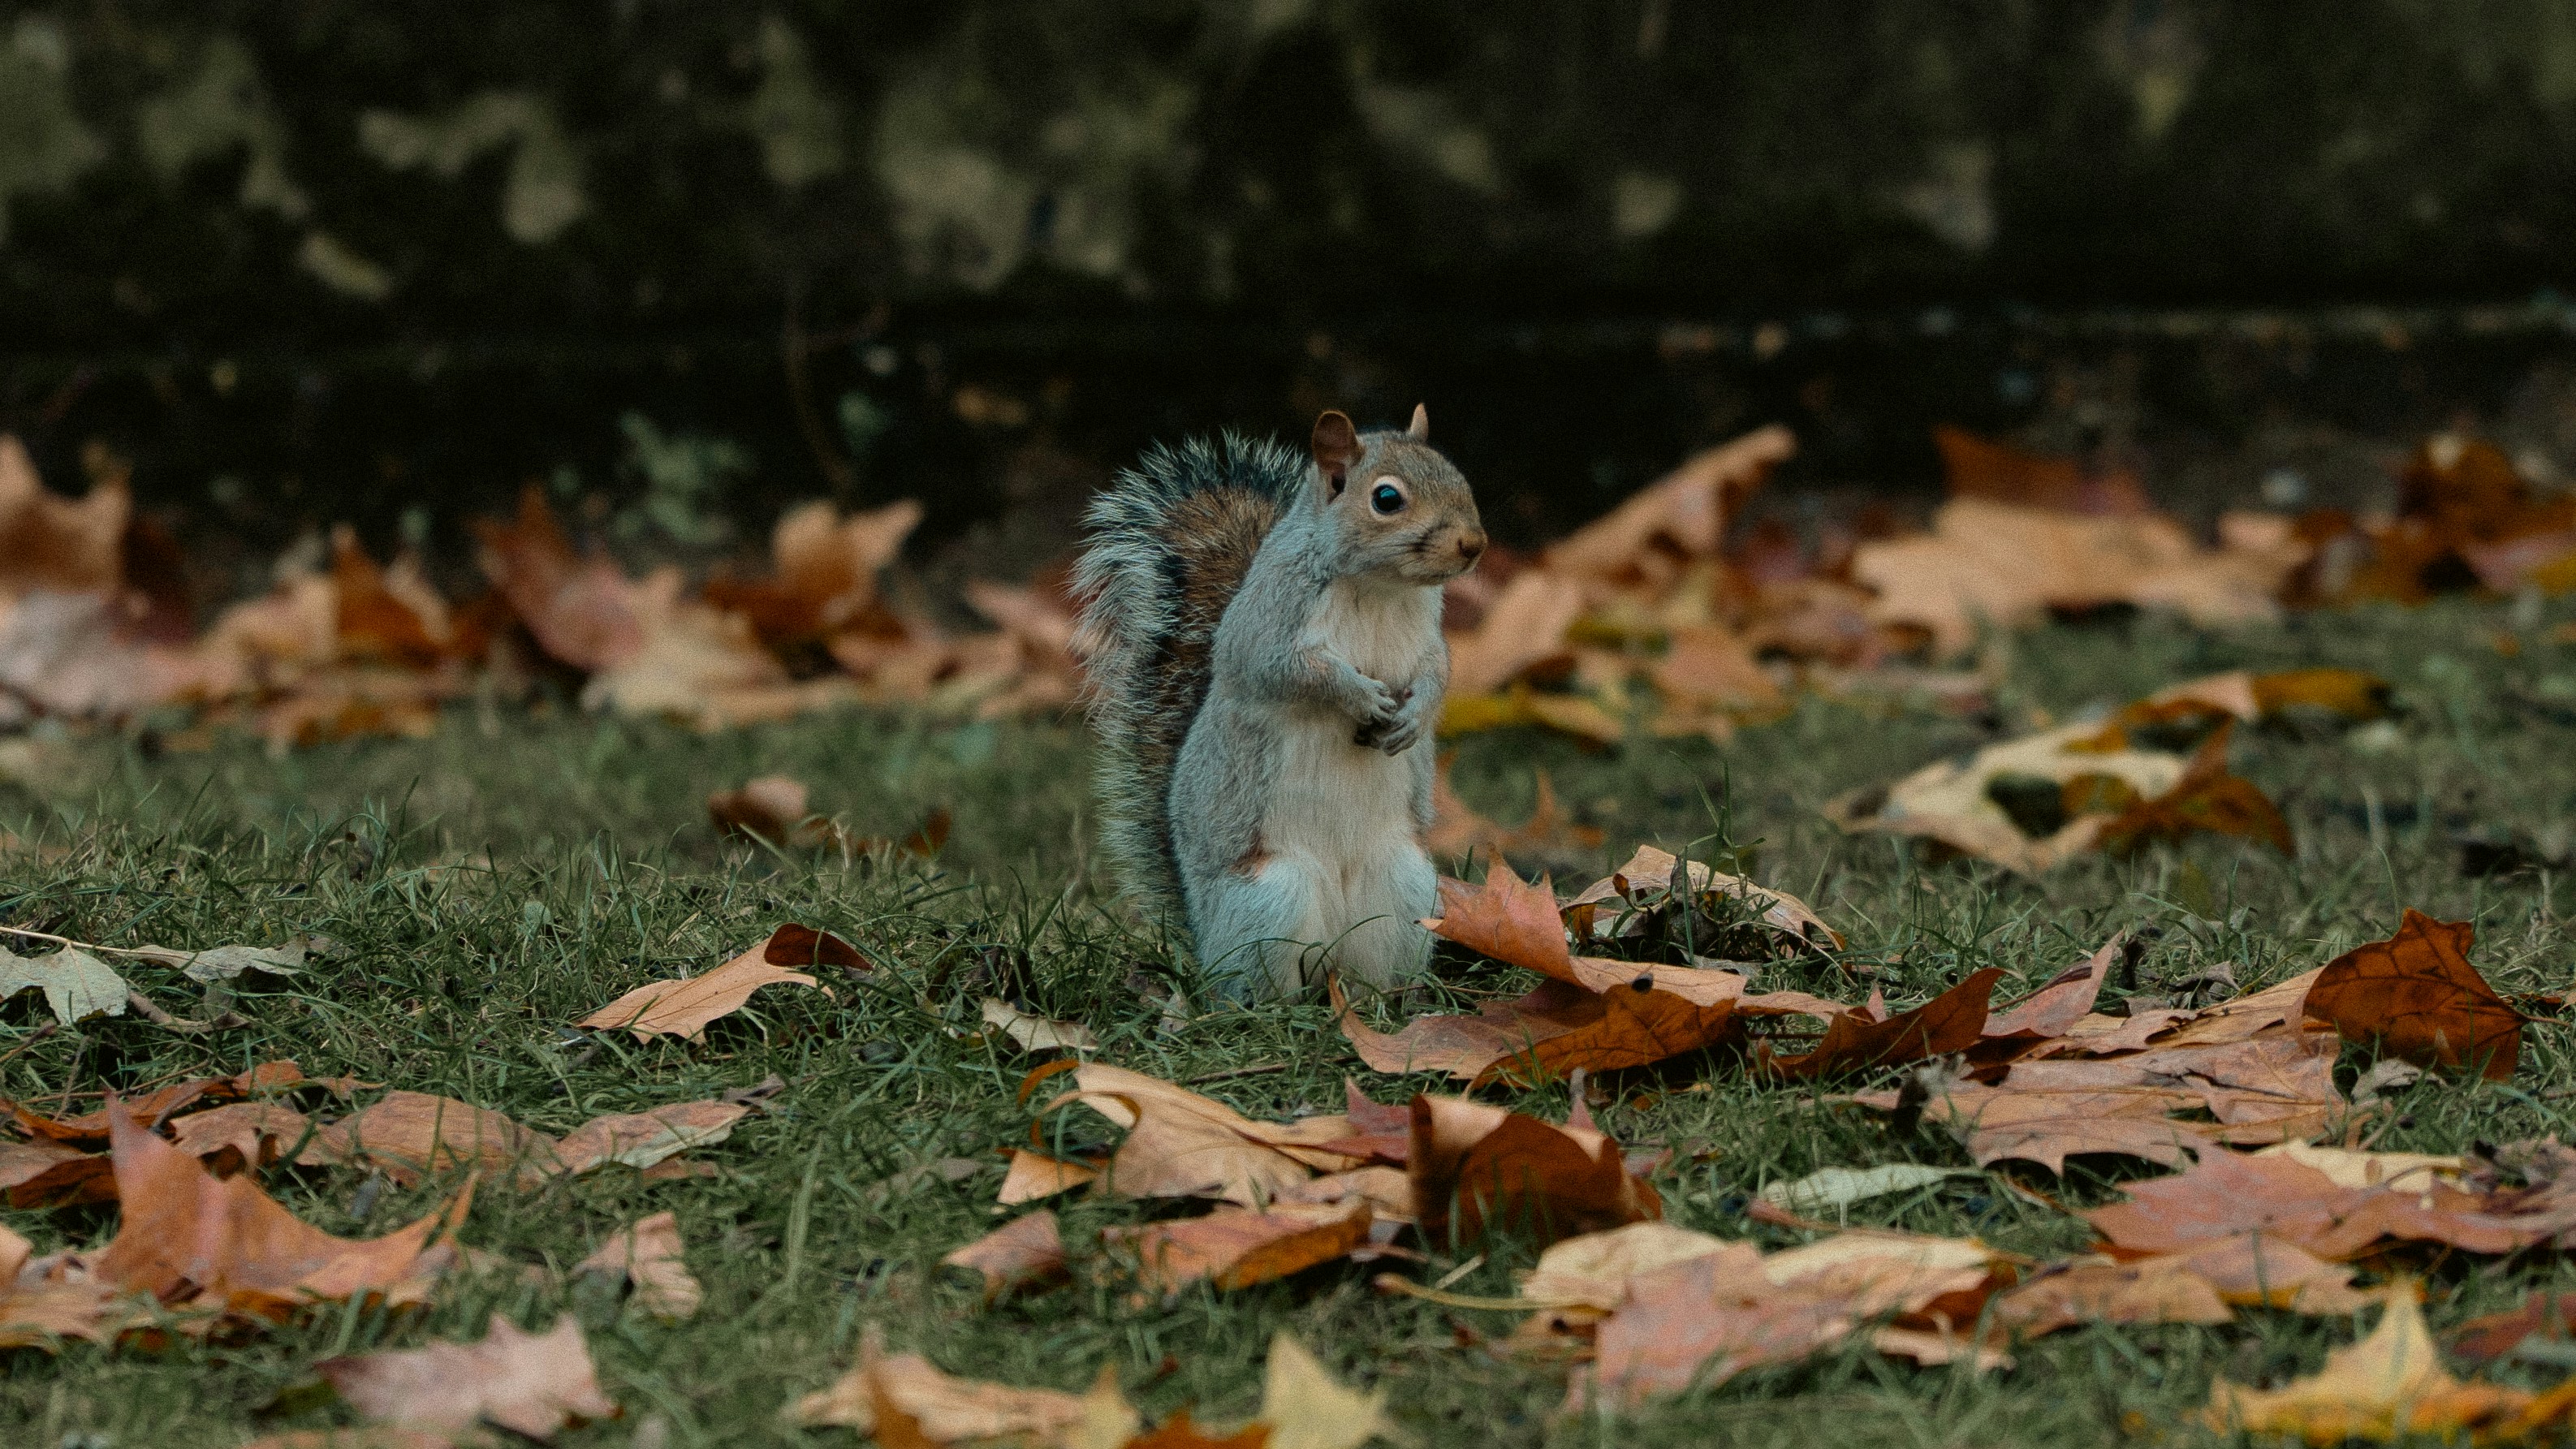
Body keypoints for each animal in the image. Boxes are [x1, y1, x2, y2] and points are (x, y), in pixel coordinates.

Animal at [1074, 406, 1487, 1001]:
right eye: (1387, 499)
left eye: (1456, 476)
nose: (1473, 544)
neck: (1380, 588)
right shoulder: (1268, 626)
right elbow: (1293, 673)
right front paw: (1359, 695)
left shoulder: (1431, 638)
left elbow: (1436, 675)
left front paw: (1411, 719)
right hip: (1269, 902)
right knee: (1265, 985)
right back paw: (1273, 1006)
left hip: (1404, 887)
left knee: (1372, 972)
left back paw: (1387, 1002)